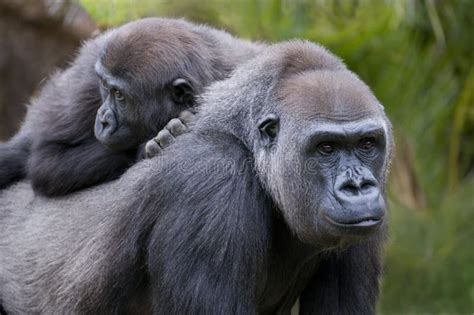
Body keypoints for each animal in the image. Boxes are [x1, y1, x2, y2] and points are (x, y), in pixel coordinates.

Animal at [0, 17, 262, 196]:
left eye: (119, 96)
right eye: (104, 87)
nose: (102, 119)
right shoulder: (86, 85)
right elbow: (47, 161)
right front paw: (148, 146)